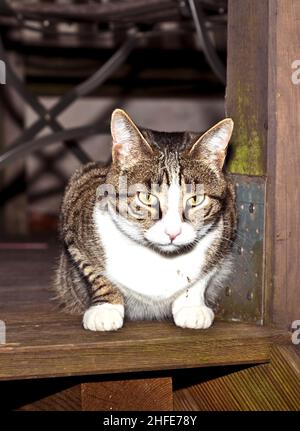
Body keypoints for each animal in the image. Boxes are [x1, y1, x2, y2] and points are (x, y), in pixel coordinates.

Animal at [54, 109, 237, 332]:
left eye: (195, 199)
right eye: (147, 197)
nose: (173, 232)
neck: (160, 259)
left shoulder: (229, 220)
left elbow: (205, 272)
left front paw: (191, 305)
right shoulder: (75, 205)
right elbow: (94, 271)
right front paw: (106, 308)